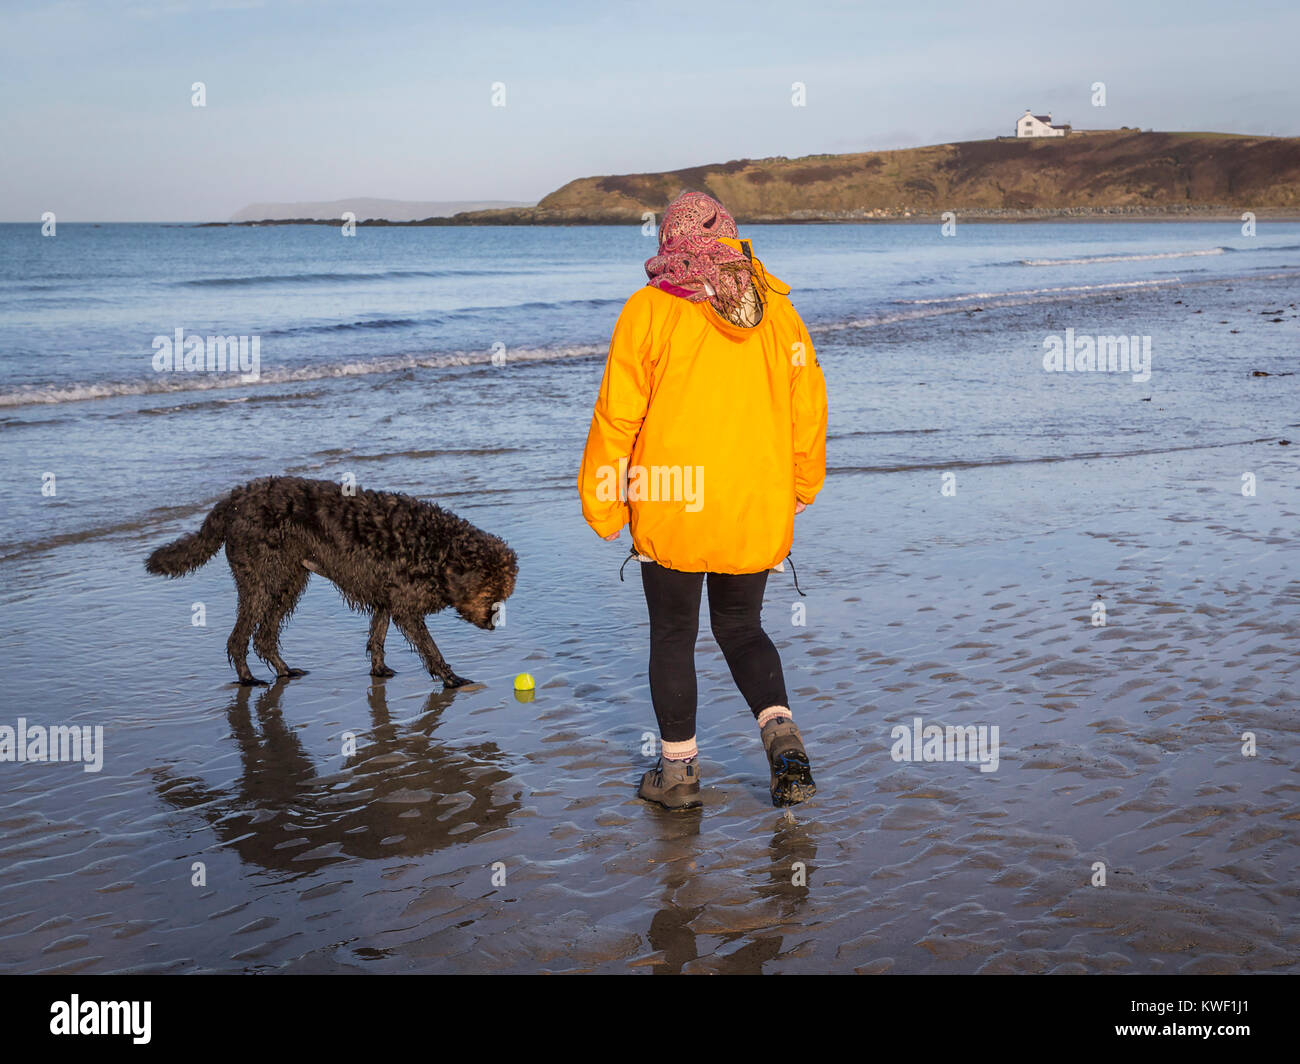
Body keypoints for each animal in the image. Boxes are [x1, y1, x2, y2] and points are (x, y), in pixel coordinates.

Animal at [146, 473, 517, 686]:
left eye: (504, 593)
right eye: (489, 592)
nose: (492, 624)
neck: (437, 548)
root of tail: (233, 500)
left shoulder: (386, 597)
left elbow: (377, 637)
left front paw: (379, 671)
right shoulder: (407, 607)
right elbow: (430, 648)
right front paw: (451, 678)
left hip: (288, 583)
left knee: (264, 637)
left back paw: (283, 672)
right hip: (262, 583)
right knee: (239, 639)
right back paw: (248, 679)